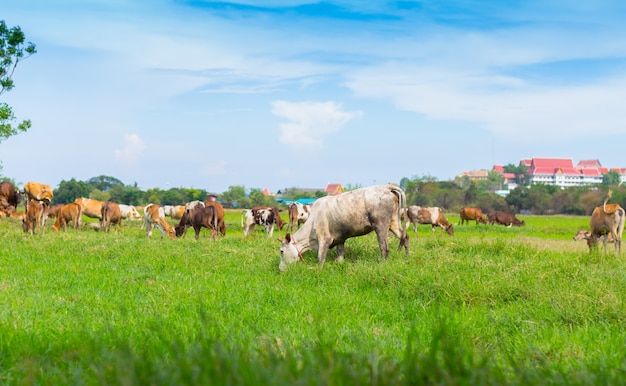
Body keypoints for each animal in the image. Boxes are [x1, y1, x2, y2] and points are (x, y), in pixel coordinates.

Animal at [280, 184, 410, 272]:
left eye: (281, 251)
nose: (280, 269)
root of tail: (387, 186)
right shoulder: (340, 240)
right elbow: (340, 258)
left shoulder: (324, 239)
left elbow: (320, 259)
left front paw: (318, 271)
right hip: (393, 222)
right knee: (405, 237)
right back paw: (407, 257)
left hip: (380, 225)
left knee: (384, 248)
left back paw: (382, 264)